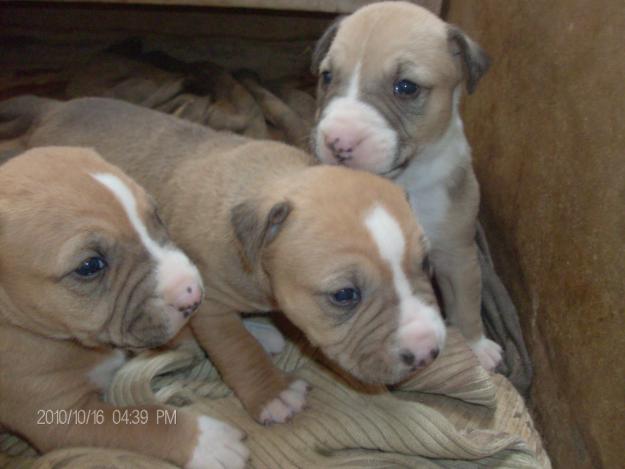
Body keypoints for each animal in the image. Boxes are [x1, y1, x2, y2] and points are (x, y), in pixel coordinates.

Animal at [0, 95, 448, 424]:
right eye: (344, 295)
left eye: (427, 265)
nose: (428, 352)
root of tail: (55, 107)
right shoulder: (209, 303)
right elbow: (236, 349)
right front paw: (273, 394)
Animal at [0, 146, 249, 468]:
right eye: (89, 266)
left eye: (156, 215)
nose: (194, 296)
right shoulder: (59, 417)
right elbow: (143, 421)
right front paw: (208, 441)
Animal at [310, 1, 502, 372]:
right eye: (327, 77)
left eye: (406, 87)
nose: (337, 141)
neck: (404, 180)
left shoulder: (458, 255)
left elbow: (467, 303)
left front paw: (477, 346)